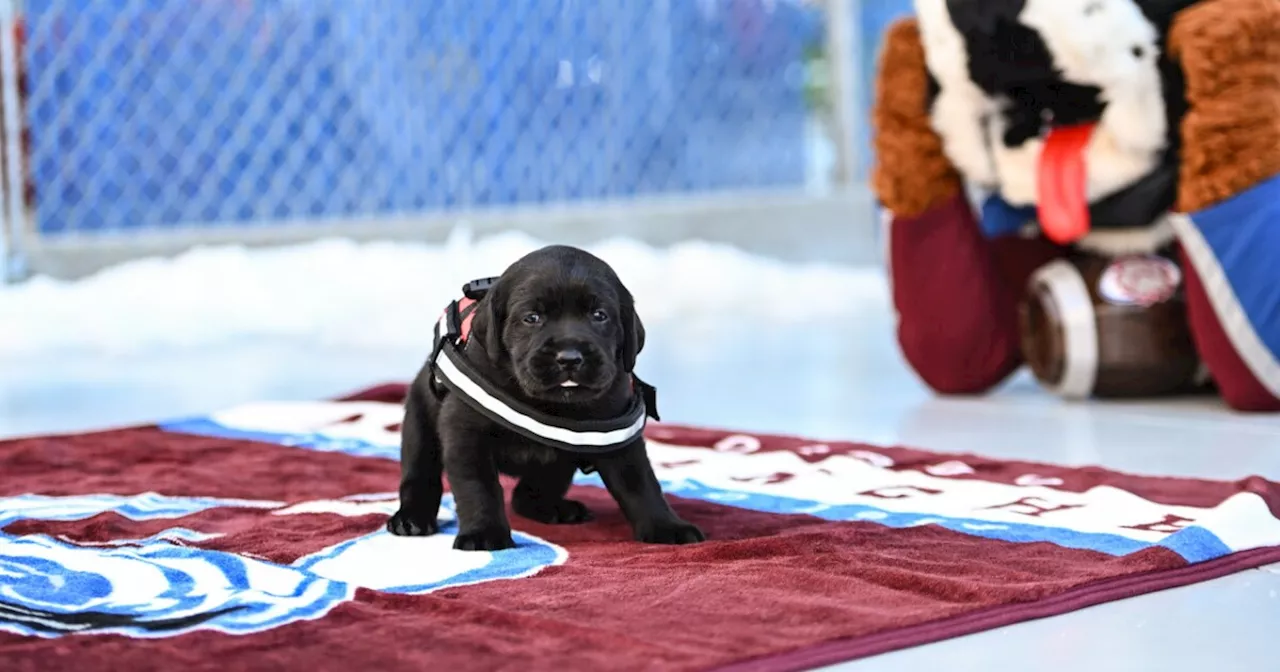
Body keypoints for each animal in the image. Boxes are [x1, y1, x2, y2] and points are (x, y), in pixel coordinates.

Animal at [389, 244, 711, 550]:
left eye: (599, 315)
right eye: (531, 318)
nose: (569, 357)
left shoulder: (616, 433)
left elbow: (640, 484)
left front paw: (666, 526)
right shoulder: (466, 432)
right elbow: (478, 486)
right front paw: (484, 533)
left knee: (529, 492)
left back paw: (555, 508)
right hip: (418, 424)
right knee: (420, 476)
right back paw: (411, 518)